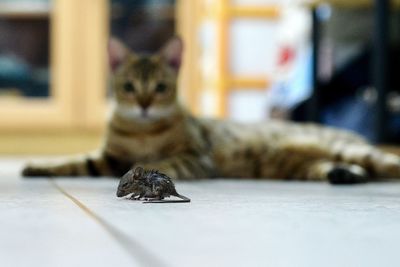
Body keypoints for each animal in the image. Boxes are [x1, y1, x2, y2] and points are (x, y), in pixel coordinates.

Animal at [21, 37, 400, 184]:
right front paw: (39, 167)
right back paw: (344, 174)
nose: (144, 105)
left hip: (346, 148)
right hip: (298, 166)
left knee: (385, 162)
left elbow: (163, 162)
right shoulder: (106, 158)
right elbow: (73, 161)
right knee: (340, 168)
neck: (144, 131)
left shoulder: (195, 157)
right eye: (129, 87)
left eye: (160, 88)